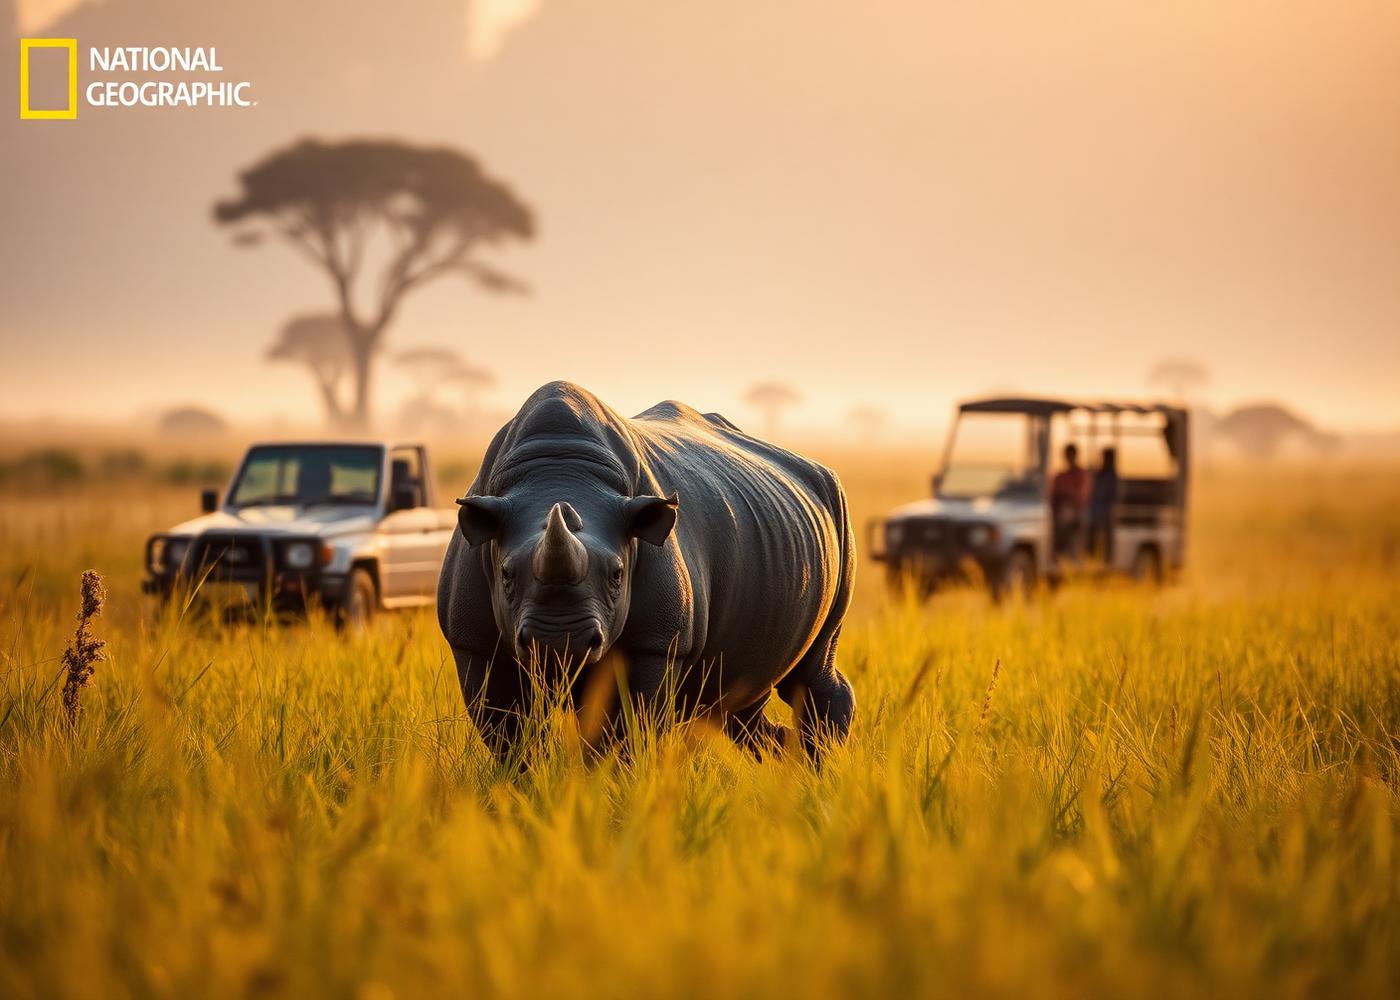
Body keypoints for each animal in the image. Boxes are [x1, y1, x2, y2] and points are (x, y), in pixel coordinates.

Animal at [437, 381, 856, 760]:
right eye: (506, 575)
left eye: (618, 574)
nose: (559, 641)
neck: (558, 474)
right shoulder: (473, 643)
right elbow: (509, 734)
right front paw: (528, 787)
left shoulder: (657, 642)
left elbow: (620, 733)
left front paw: (604, 785)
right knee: (738, 699)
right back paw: (786, 759)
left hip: (839, 509)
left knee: (809, 672)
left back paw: (819, 767)